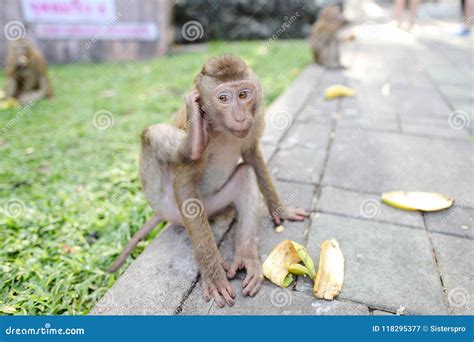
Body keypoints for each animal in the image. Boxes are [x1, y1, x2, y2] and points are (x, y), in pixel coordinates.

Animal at [111, 56, 312, 308]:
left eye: (243, 95)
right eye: (223, 98)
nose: (240, 117)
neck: (220, 128)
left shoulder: (254, 121)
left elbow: (252, 156)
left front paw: (281, 211)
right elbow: (184, 184)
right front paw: (214, 276)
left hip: (214, 204)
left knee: (245, 174)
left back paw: (246, 257)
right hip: (164, 202)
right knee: (151, 133)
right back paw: (191, 144)